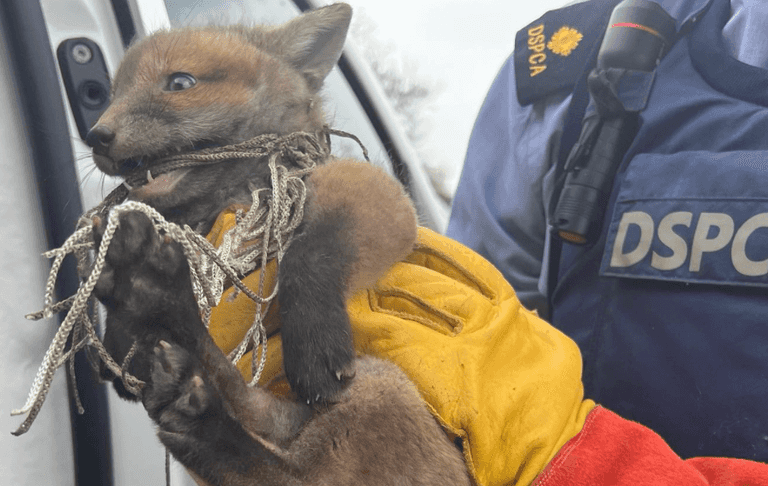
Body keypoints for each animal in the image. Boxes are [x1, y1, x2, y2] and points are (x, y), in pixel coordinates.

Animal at [85, 3, 469, 485]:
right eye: (112, 94)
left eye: (180, 82)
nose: (96, 135)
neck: (226, 203)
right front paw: (122, 324)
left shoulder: (383, 197)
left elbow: (313, 249)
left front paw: (313, 339)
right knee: (250, 408)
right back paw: (157, 303)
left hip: (376, 387)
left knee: (289, 469)